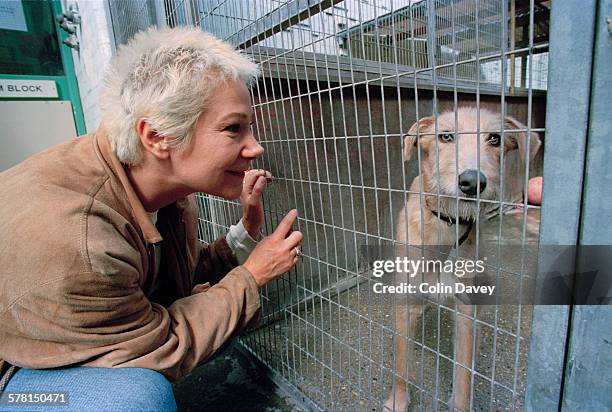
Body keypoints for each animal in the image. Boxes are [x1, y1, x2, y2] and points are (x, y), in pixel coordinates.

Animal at [384, 108, 544, 410]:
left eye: (494, 139)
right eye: (445, 136)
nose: (472, 182)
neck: (445, 227)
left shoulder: (465, 311)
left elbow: (463, 375)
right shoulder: (406, 298)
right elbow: (400, 364)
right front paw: (398, 400)